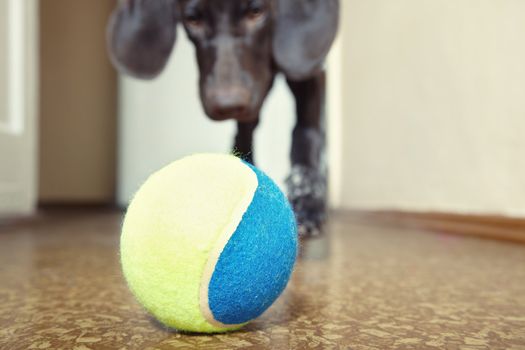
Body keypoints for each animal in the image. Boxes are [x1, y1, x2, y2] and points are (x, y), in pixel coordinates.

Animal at [107, 0, 340, 235]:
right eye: (193, 19)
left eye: (256, 12)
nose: (227, 105)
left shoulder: (308, 68)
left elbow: (306, 131)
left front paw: (308, 198)